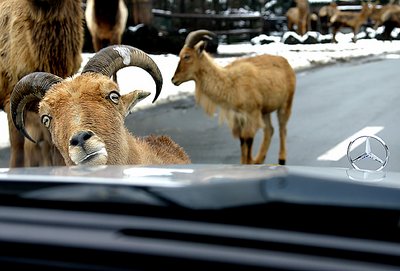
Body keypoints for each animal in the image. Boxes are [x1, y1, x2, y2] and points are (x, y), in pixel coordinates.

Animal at [170, 30, 296, 166]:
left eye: (187, 56)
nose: (174, 80)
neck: (231, 83)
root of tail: (286, 63)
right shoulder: (239, 117)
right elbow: (242, 140)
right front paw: (244, 162)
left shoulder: (251, 114)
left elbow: (248, 139)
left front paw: (248, 162)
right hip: (265, 111)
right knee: (269, 130)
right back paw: (259, 160)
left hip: (286, 103)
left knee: (282, 129)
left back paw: (281, 160)